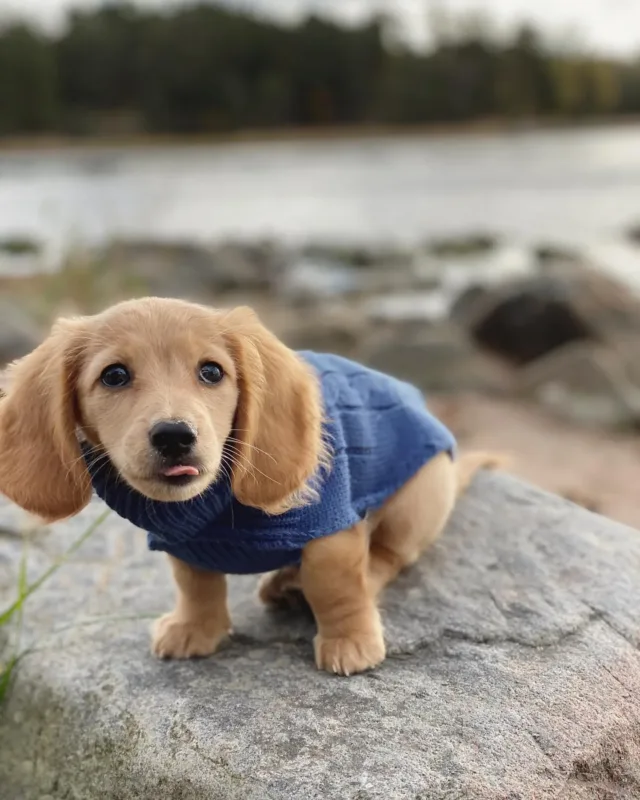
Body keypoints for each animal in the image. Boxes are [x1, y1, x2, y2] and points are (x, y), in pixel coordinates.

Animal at [0, 296, 500, 672]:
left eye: (211, 371)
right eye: (114, 375)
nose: (175, 436)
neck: (214, 506)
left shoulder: (333, 536)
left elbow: (337, 587)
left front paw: (350, 640)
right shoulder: (185, 546)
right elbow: (196, 585)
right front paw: (196, 628)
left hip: (416, 502)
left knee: (387, 557)